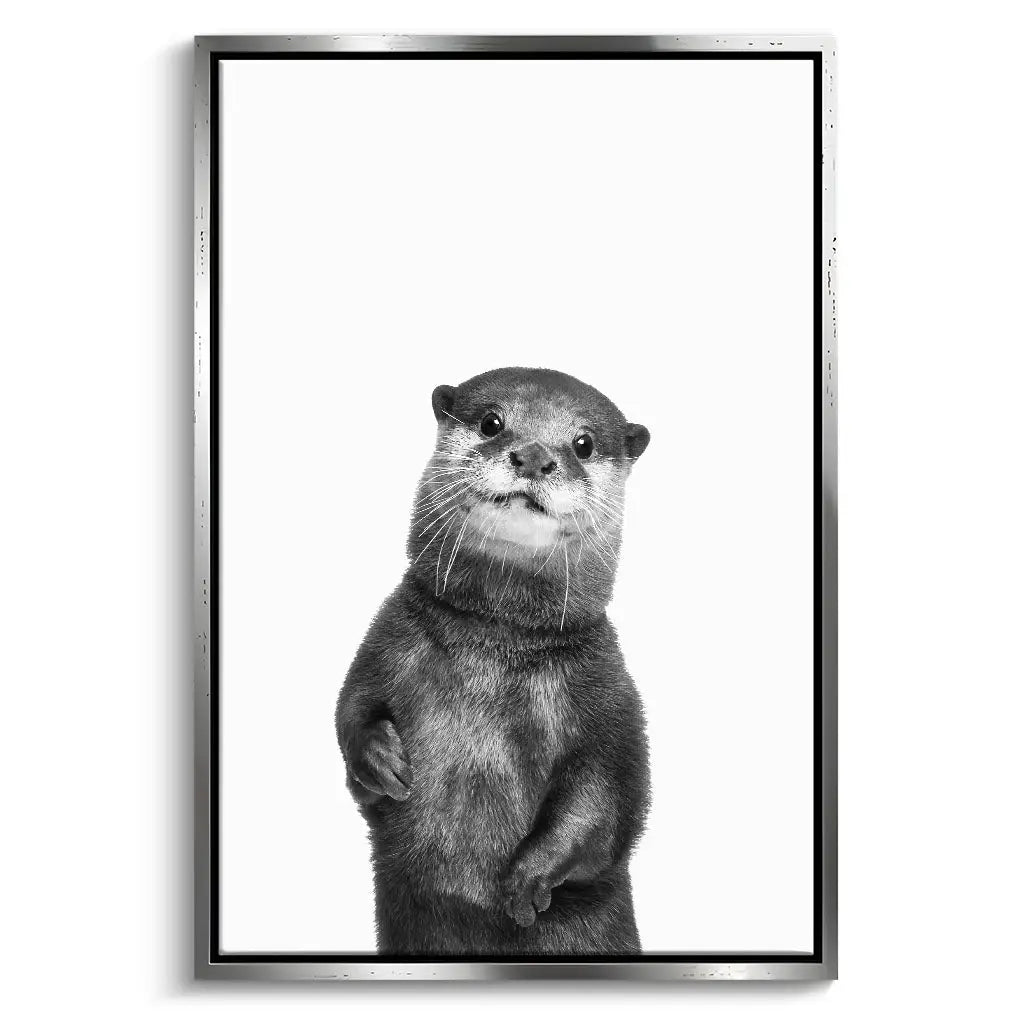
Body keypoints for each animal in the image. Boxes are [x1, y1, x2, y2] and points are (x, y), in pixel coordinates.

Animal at [335, 366, 651, 955]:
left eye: (583, 443)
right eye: (492, 422)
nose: (533, 456)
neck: (495, 646)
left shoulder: (609, 694)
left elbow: (607, 798)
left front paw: (529, 878)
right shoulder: (386, 640)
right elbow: (351, 709)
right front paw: (379, 759)